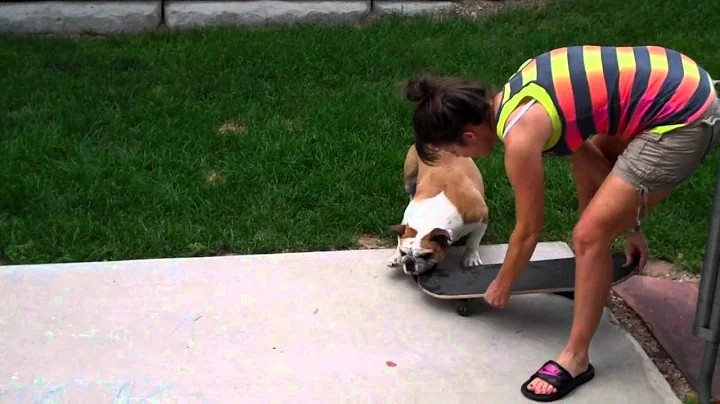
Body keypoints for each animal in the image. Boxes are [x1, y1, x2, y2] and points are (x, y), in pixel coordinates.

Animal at [388, 144, 490, 276]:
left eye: (426, 255)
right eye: (403, 253)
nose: (409, 262)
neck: (429, 216)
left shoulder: (482, 220)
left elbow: (473, 241)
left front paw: (471, 258)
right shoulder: (405, 224)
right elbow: (400, 238)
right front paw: (396, 257)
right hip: (409, 178)